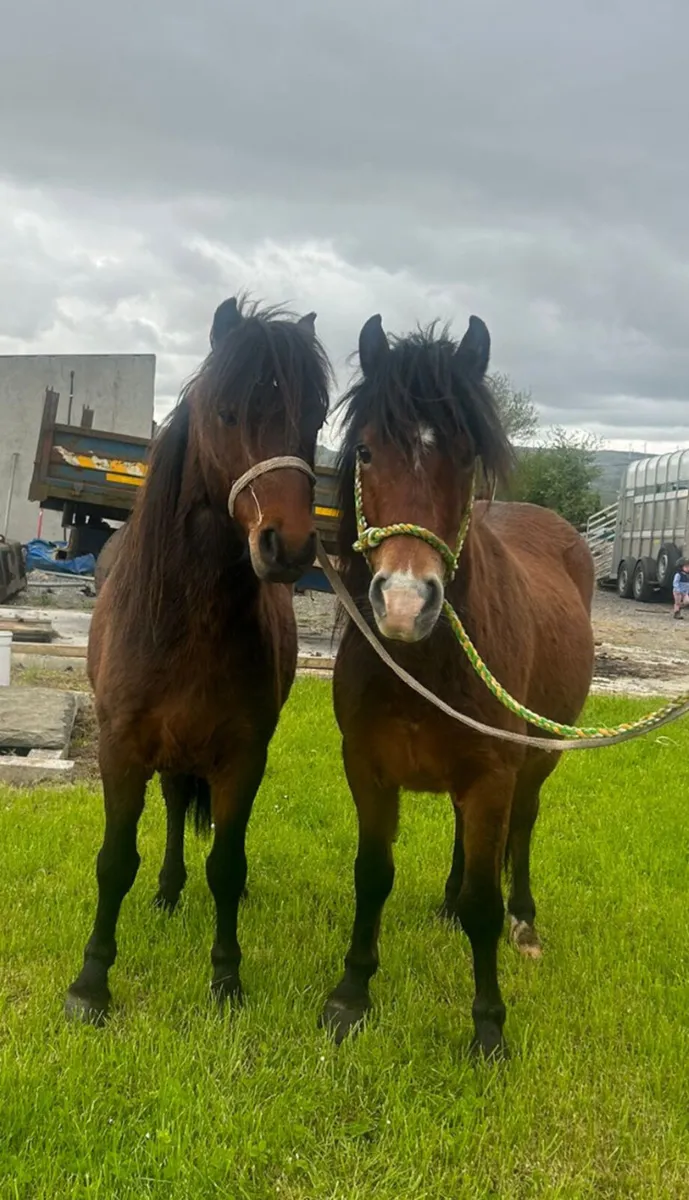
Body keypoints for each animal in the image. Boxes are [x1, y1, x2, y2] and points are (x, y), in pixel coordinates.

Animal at [65, 296, 331, 1024]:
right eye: (226, 413)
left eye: (316, 416)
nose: (288, 546)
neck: (189, 623)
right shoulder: (121, 748)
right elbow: (112, 861)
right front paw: (90, 985)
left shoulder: (242, 756)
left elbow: (227, 866)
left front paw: (226, 978)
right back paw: (164, 891)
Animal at [321, 313, 594, 1058]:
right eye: (364, 450)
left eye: (467, 454)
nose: (404, 604)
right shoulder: (367, 766)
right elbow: (370, 877)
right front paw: (351, 996)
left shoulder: (493, 773)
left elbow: (482, 903)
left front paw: (488, 1026)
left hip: (536, 760)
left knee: (522, 829)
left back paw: (524, 922)